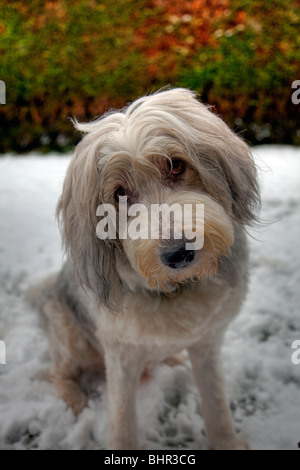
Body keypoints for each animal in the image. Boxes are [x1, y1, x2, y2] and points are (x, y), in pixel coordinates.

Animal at [35, 86, 260, 450]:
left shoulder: (207, 343)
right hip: (67, 331)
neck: (175, 289)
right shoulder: (120, 355)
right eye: (119, 193)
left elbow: (215, 399)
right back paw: (74, 398)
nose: (179, 253)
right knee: (58, 372)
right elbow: (123, 418)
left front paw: (226, 441)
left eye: (176, 165)